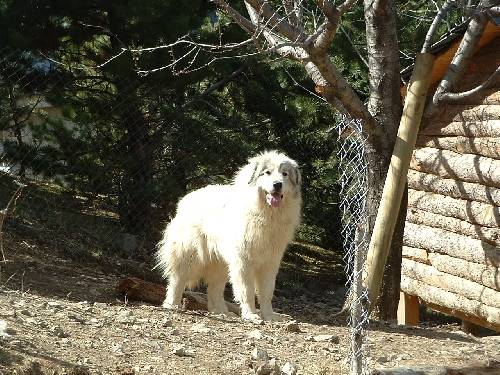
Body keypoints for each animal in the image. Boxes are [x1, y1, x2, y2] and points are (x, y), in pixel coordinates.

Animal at [154, 150, 300, 320]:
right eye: (267, 173)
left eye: (285, 174)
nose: (277, 184)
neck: (265, 214)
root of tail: (187, 197)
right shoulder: (244, 262)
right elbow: (247, 290)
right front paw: (251, 314)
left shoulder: (270, 262)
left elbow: (267, 291)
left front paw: (269, 315)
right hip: (189, 255)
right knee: (178, 279)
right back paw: (173, 304)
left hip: (222, 262)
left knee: (215, 288)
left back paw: (221, 311)